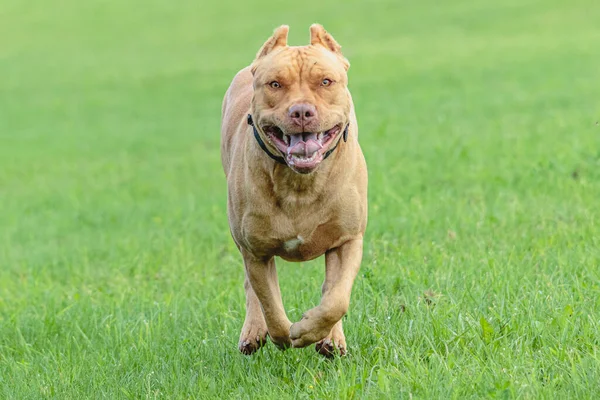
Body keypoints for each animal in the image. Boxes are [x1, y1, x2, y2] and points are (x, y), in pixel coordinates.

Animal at [223, 25, 368, 356]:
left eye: (325, 82)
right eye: (275, 84)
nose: (301, 111)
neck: (300, 183)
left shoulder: (348, 239)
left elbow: (336, 300)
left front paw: (312, 330)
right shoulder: (256, 251)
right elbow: (270, 305)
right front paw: (286, 335)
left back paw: (331, 338)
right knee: (252, 290)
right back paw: (253, 332)